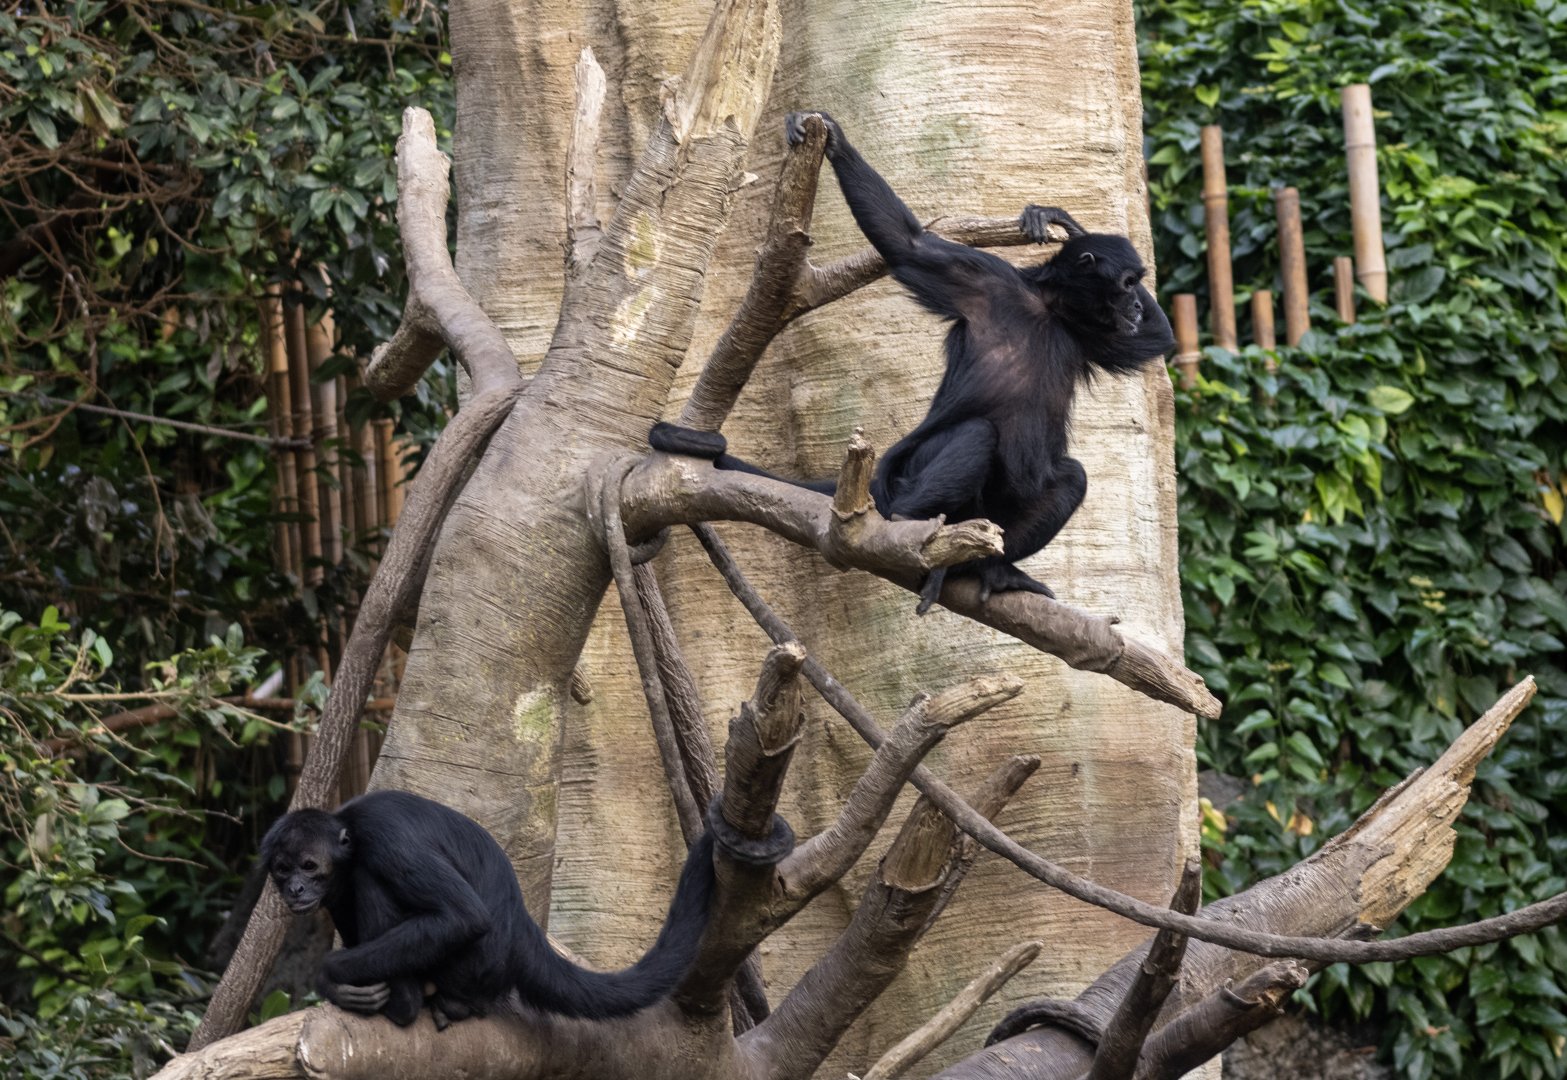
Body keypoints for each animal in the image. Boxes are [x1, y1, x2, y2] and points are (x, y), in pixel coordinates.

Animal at [651, 111, 1175, 613]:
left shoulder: (1095, 334)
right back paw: (909, 525)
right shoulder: (984, 281)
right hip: (906, 478)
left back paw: (989, 569)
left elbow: (1158, 338)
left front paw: (1059, 218)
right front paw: (832, 135)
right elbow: (909, 244)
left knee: (1068, 476)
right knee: (977, 432)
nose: (1133, 306)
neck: (1048, 310)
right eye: (1128, 283)